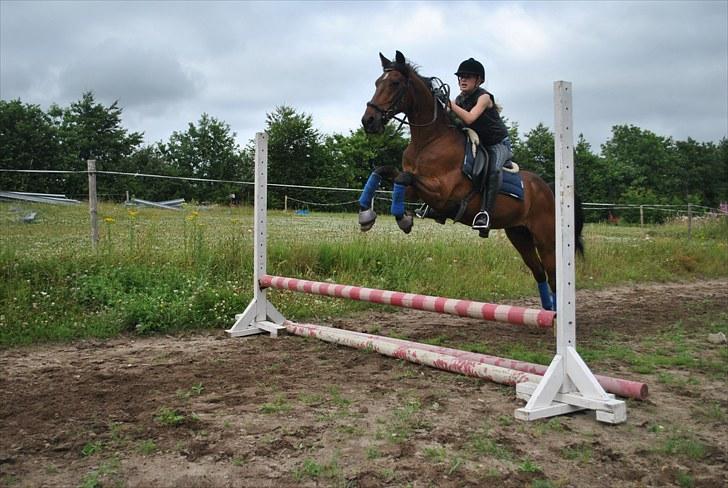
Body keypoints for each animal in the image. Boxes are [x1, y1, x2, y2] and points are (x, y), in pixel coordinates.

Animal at [356, 51, 584, 310]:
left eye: (394, 83)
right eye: (377, 83)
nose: (368, 120)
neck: (429, 141)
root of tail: (550, 189)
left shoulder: (442, 194)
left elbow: (403, 177)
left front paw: (402, 218)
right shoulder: (416, 189)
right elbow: (384, 172)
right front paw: (366, 214)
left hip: (546, 239)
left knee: (554, 275)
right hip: (519, 235)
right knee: (539, 272)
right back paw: (550, 312)